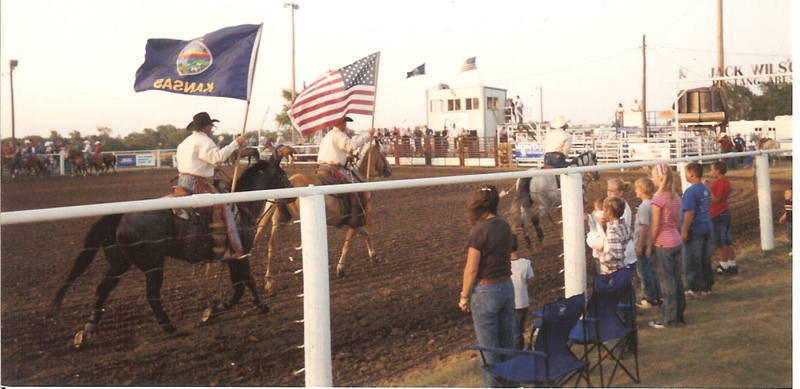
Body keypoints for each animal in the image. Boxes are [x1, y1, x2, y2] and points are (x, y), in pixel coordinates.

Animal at [51, 158, 292, 346]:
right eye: (283, 175)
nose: (290, 194)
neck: (241, 206)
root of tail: (121, 215)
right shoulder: (239, 255)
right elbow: (241, 286)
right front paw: (214, 312)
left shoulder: (238, 257)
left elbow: (246, 283)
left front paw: (257, 306)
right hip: (153, 265)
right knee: (151, 295)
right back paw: (170, 327)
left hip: (119, 263)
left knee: (102, 289)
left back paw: (88, 329)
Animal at [258, 139, 392, 292]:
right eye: (384, 153)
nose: (390, 169)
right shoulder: (356, 219)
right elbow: (348, 243)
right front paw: (341, 269)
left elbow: (366, 235)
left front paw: (374, 256)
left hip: (280, 220)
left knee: (272, 246)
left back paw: (270, 281)